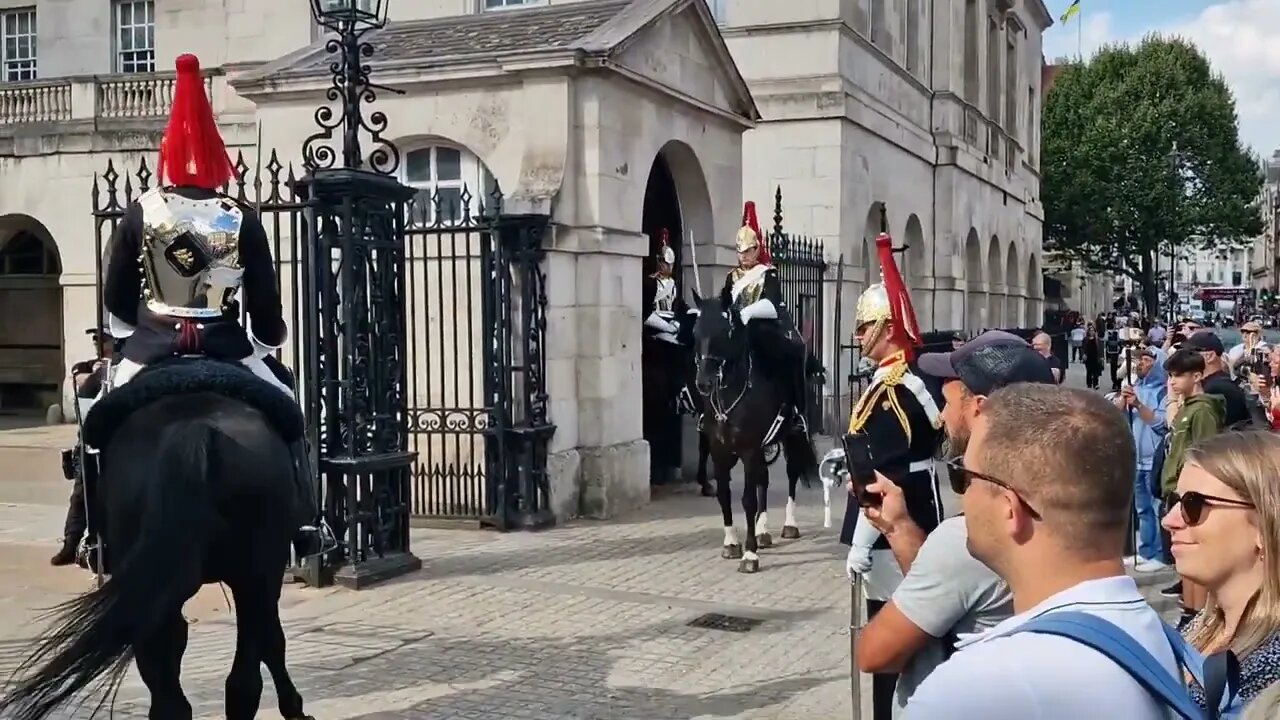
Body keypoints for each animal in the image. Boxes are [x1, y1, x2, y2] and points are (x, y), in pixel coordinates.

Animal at [696, 292, 814, 571]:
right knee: (764, 479)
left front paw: (749, 555)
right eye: (696, 332)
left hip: (791, 437)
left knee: (791, 475)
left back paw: (788, 525)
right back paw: (763, 531)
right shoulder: (720, 450)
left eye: (724, 332)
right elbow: (725, 495)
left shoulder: (748, 450)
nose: (703, 382)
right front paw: (731, 543)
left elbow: (747, 500)